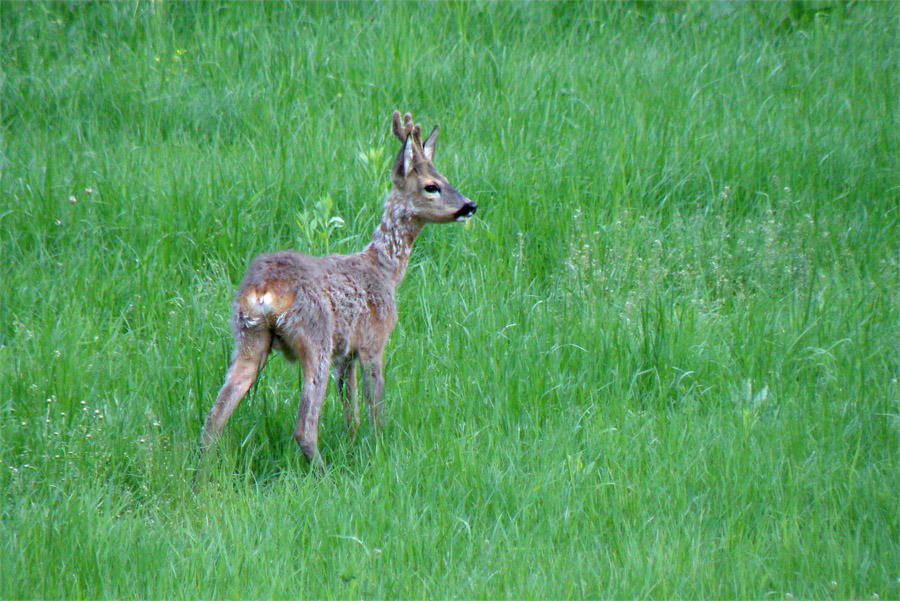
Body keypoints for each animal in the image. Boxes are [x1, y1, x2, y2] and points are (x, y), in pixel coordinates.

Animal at [199, 110, 478, 472]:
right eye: (433, 186)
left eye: (444, 177)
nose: (470, 205)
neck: (385, 270)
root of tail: (263, 290)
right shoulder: (373, 340)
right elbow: (375, 406)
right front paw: (379, 448)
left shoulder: (345, 354)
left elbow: (351, 410)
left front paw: (352, 443)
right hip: (314, 337)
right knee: (304, 428)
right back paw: (323, 475)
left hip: (248, 336)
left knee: (213, 420)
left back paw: (200, 477)